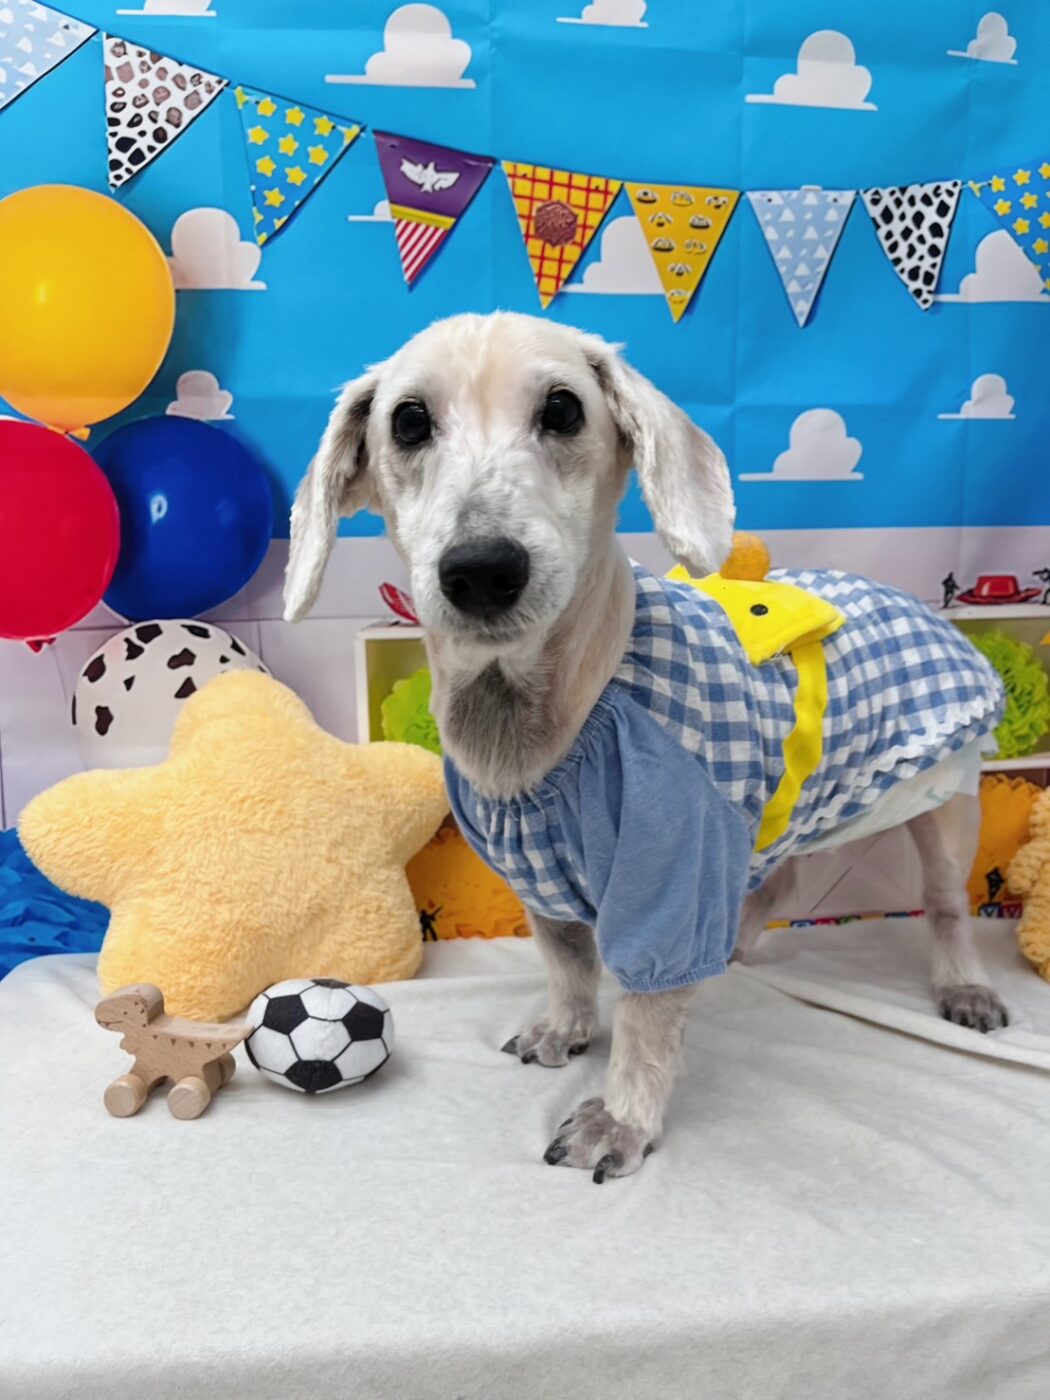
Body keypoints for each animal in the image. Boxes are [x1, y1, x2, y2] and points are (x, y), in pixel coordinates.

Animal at [284, 312, 1007, 1183]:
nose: (482, 569)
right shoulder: (543, 883)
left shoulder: (672, 874)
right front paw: (564, 1030)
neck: (555, 715)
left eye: (564, 409)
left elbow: (646, 1014)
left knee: (946, 901)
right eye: (409, 421)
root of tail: (914, 599)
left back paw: (964, 984)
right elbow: (568, 966)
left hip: (943, 801)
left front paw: (621, 1118)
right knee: (778, 881)